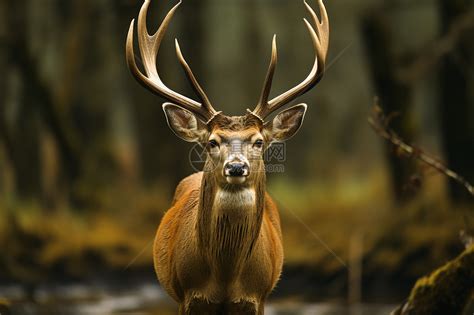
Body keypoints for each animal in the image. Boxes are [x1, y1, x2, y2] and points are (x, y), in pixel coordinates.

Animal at [124, 0, 328, 314]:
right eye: (212, 142)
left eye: (259, 142)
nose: (235, 167)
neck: (225, 278)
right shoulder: (187, 296)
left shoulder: (258, 298)